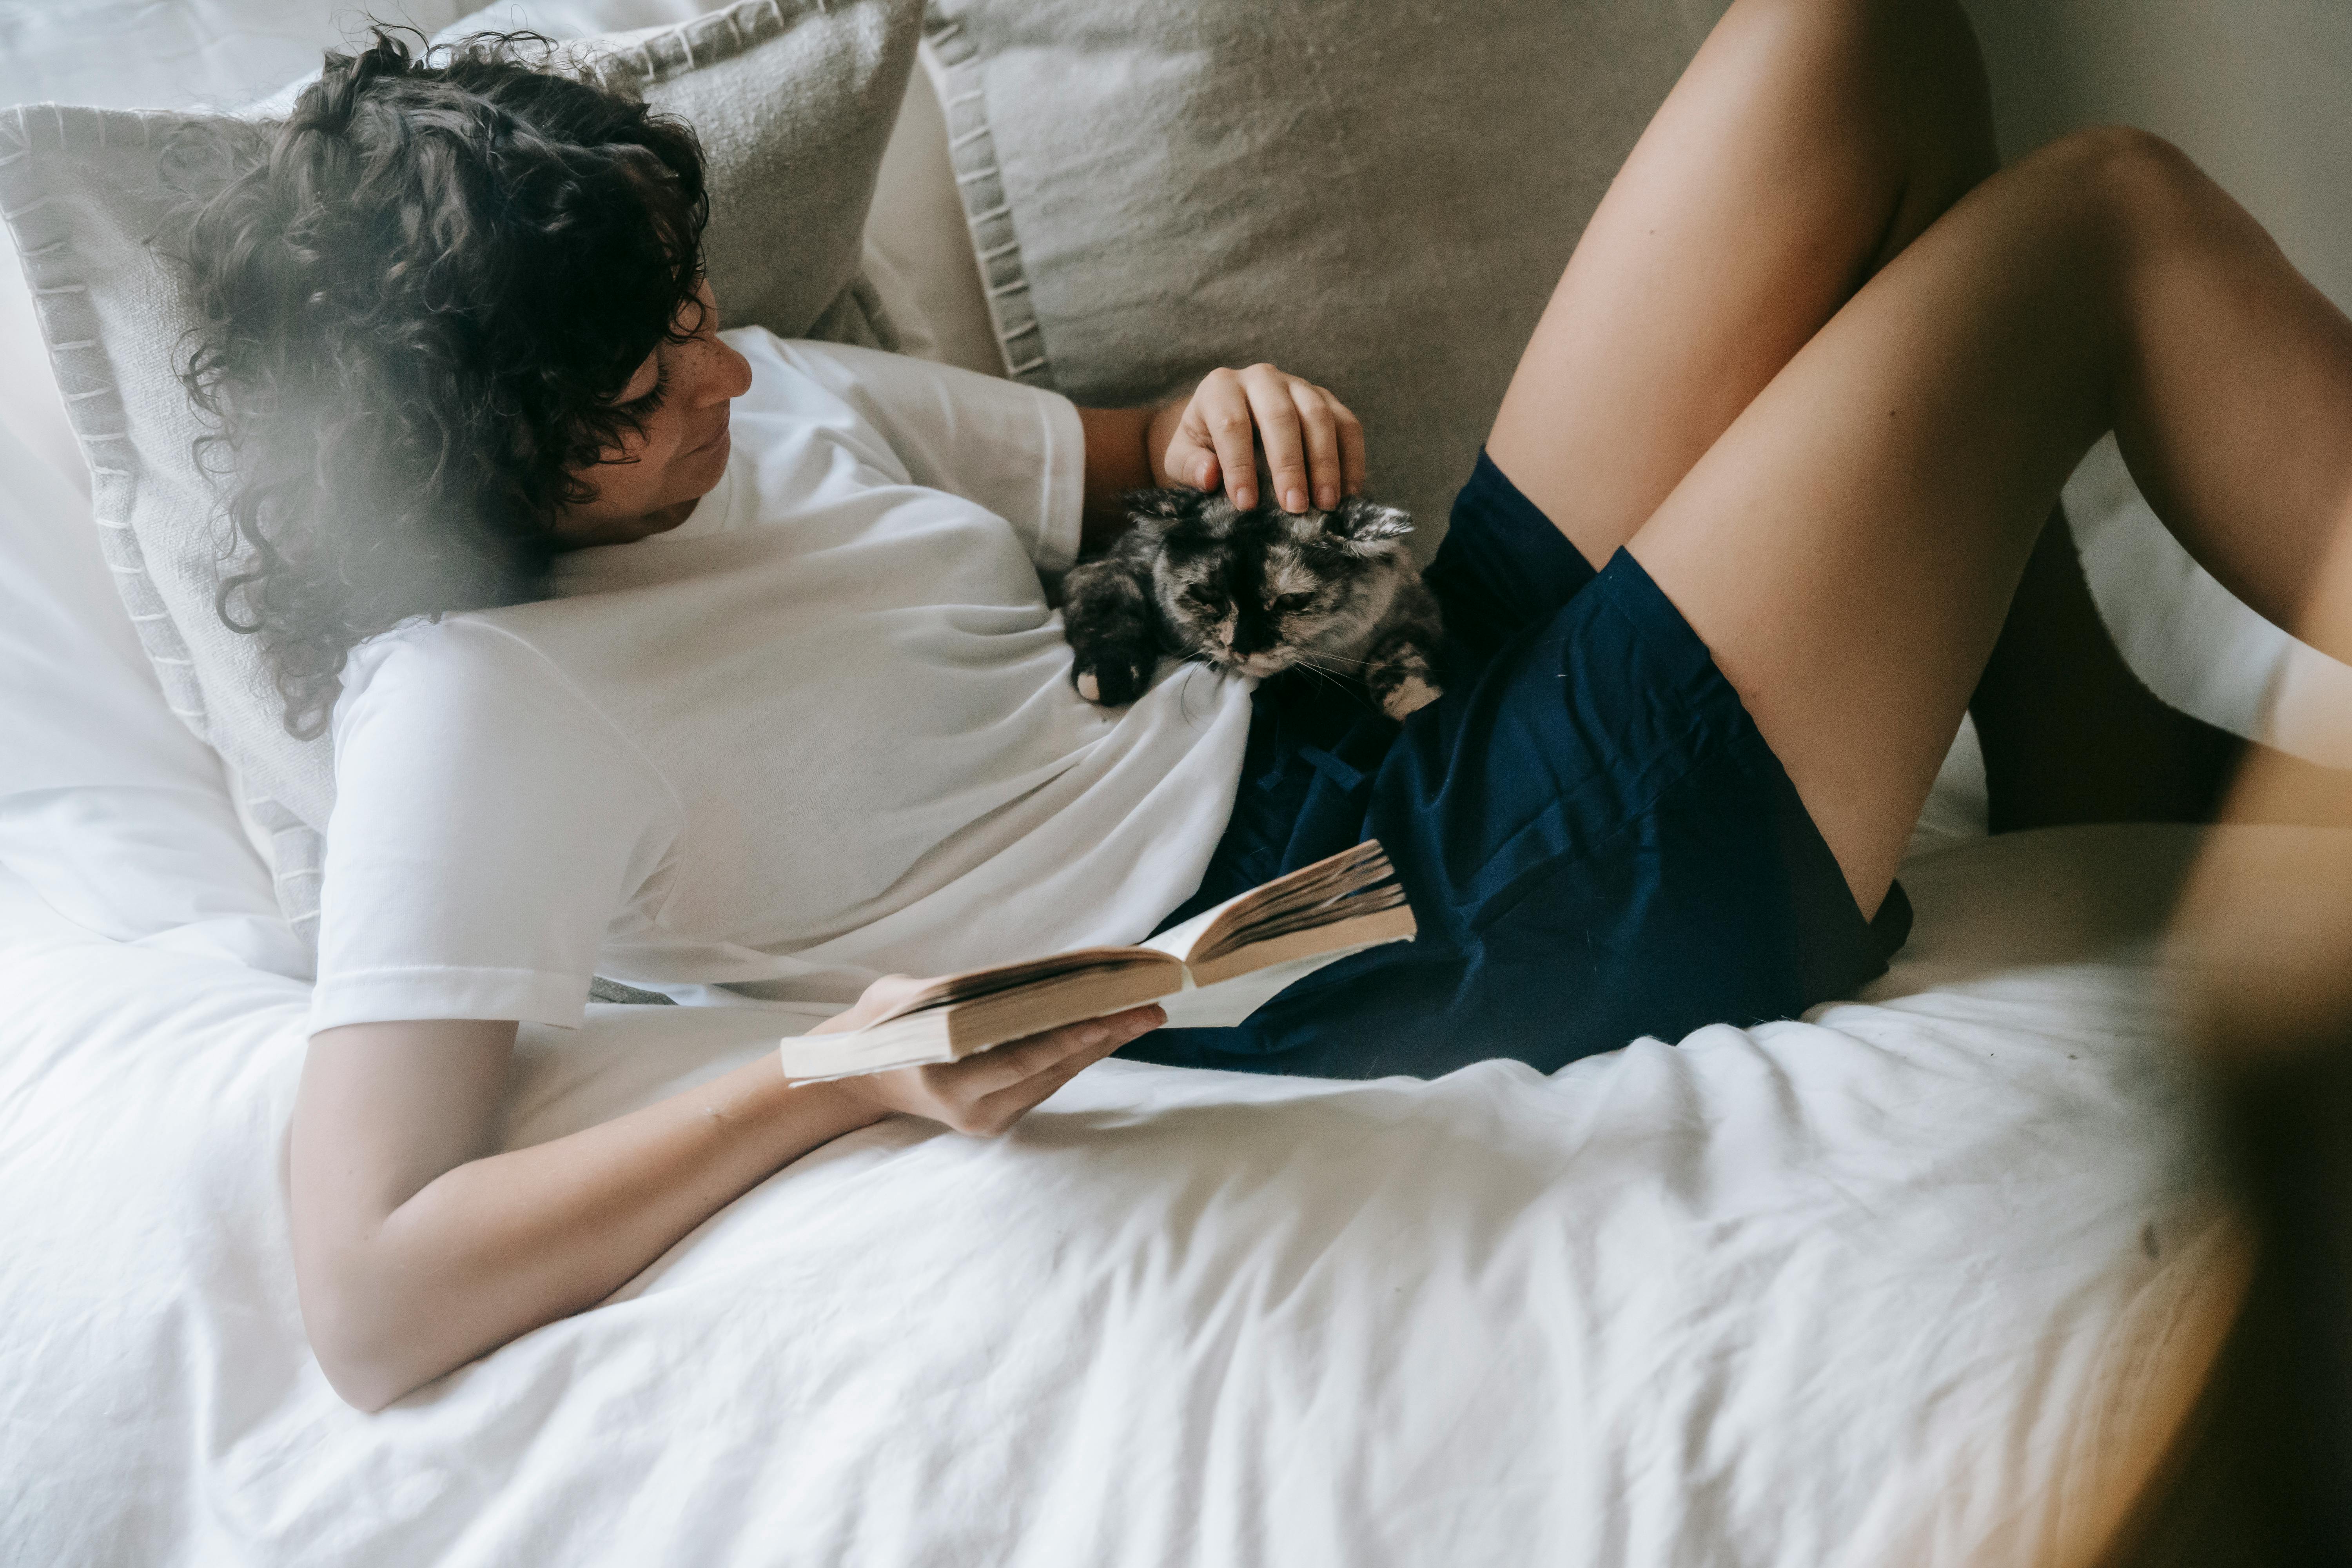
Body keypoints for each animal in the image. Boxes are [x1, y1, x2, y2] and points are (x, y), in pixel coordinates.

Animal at [1063, 486, 1430, 719]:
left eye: (1294, 599)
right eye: (1206, 594)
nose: (1241, 647)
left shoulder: (1414, 601)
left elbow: (1402, 646)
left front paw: (1415, 698)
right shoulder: (1103, 567)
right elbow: (1112, 607)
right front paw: (1107, 676)